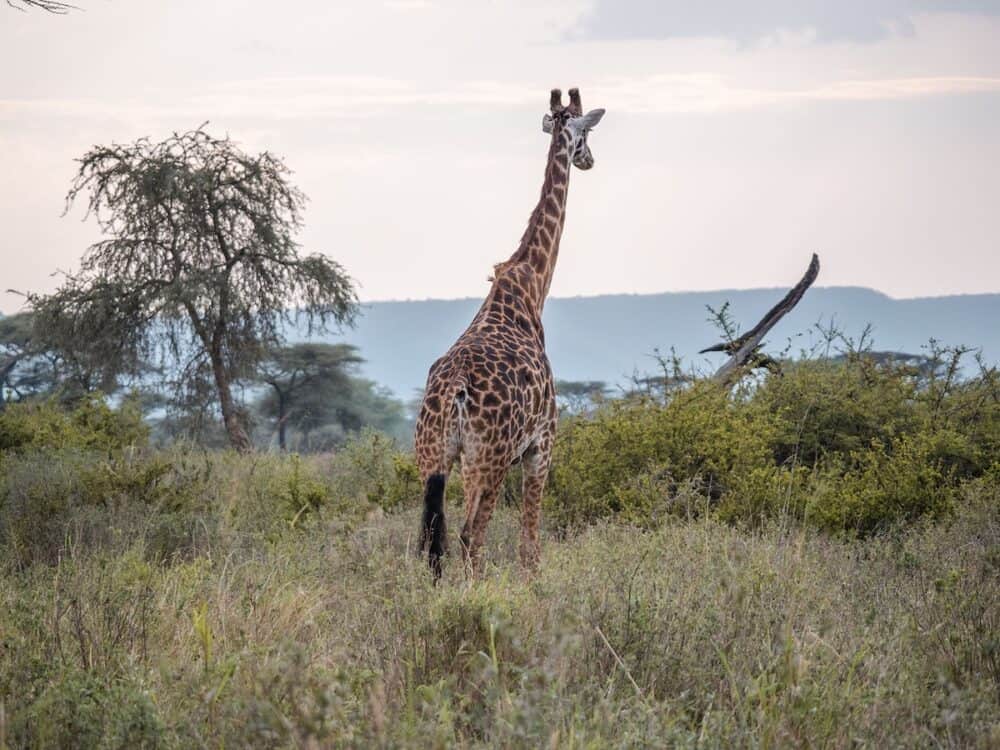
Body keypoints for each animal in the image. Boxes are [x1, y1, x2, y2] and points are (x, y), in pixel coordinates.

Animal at [412, 89, 600, 580]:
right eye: (586, 133)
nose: (588, 160)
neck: (531, 287)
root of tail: (454, 390)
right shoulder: (542, 446)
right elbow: (530, 547)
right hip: (488, 458)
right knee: (467, 537)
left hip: (433, 456)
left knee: (429, 540)